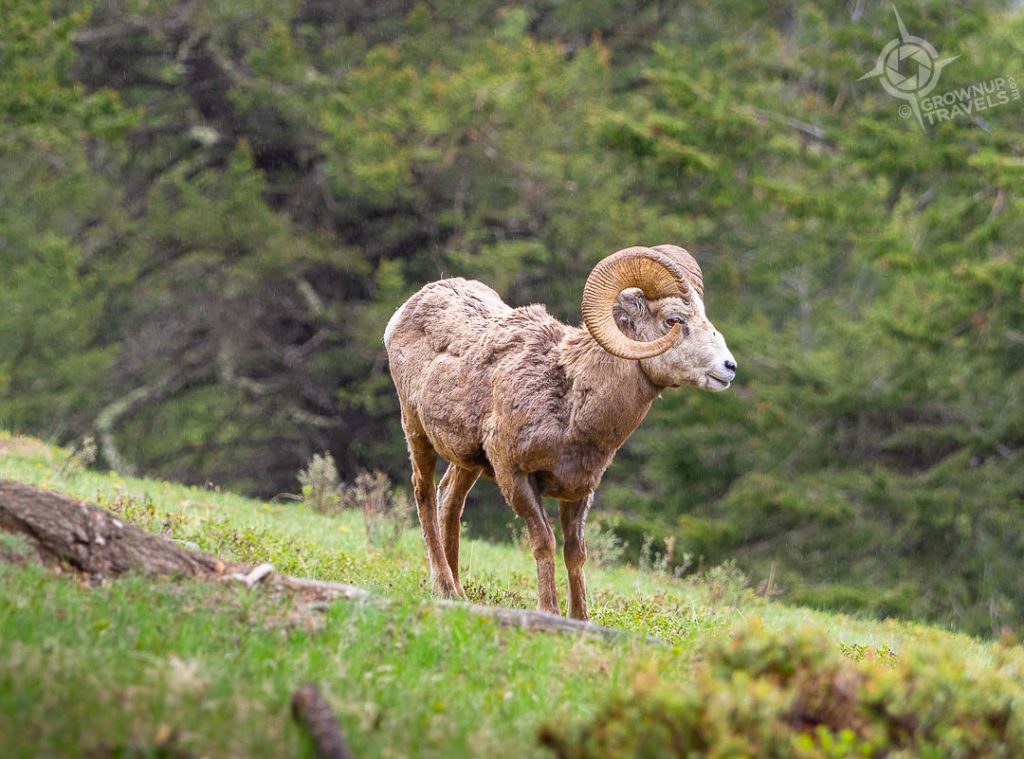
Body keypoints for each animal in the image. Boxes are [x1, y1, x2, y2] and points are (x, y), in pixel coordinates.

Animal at [384, 245, 736, 620]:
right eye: (673, 321)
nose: (729, 367)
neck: (571, 403)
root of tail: (408, 308)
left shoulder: (579, 490)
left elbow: (575, 552)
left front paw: (580, 617)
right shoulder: (515, 478)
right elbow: (544, 541)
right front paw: (548, 609)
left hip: (467, 461)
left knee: (449, 500)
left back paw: (459, 591)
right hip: (416, 431)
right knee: (424, 494)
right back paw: (444, 586)